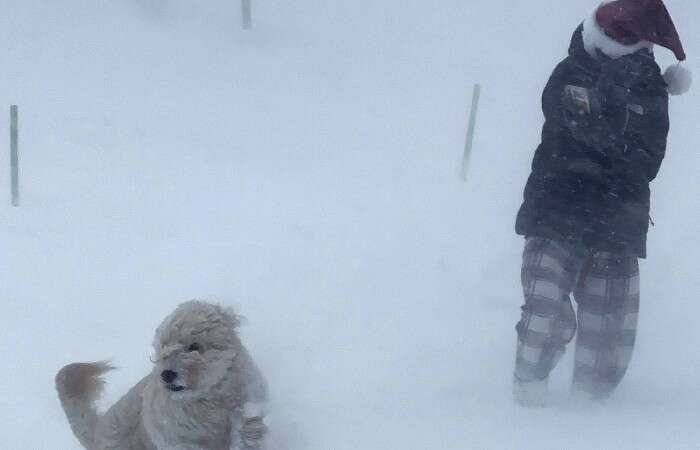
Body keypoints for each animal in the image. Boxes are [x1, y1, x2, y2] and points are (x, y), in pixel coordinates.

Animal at [56, 298, 268, 450]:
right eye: (162, 348)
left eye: (194, 346)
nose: (166, 374)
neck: (210, 400)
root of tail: (97, 432)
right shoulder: (177, 441)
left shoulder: (247, 401)